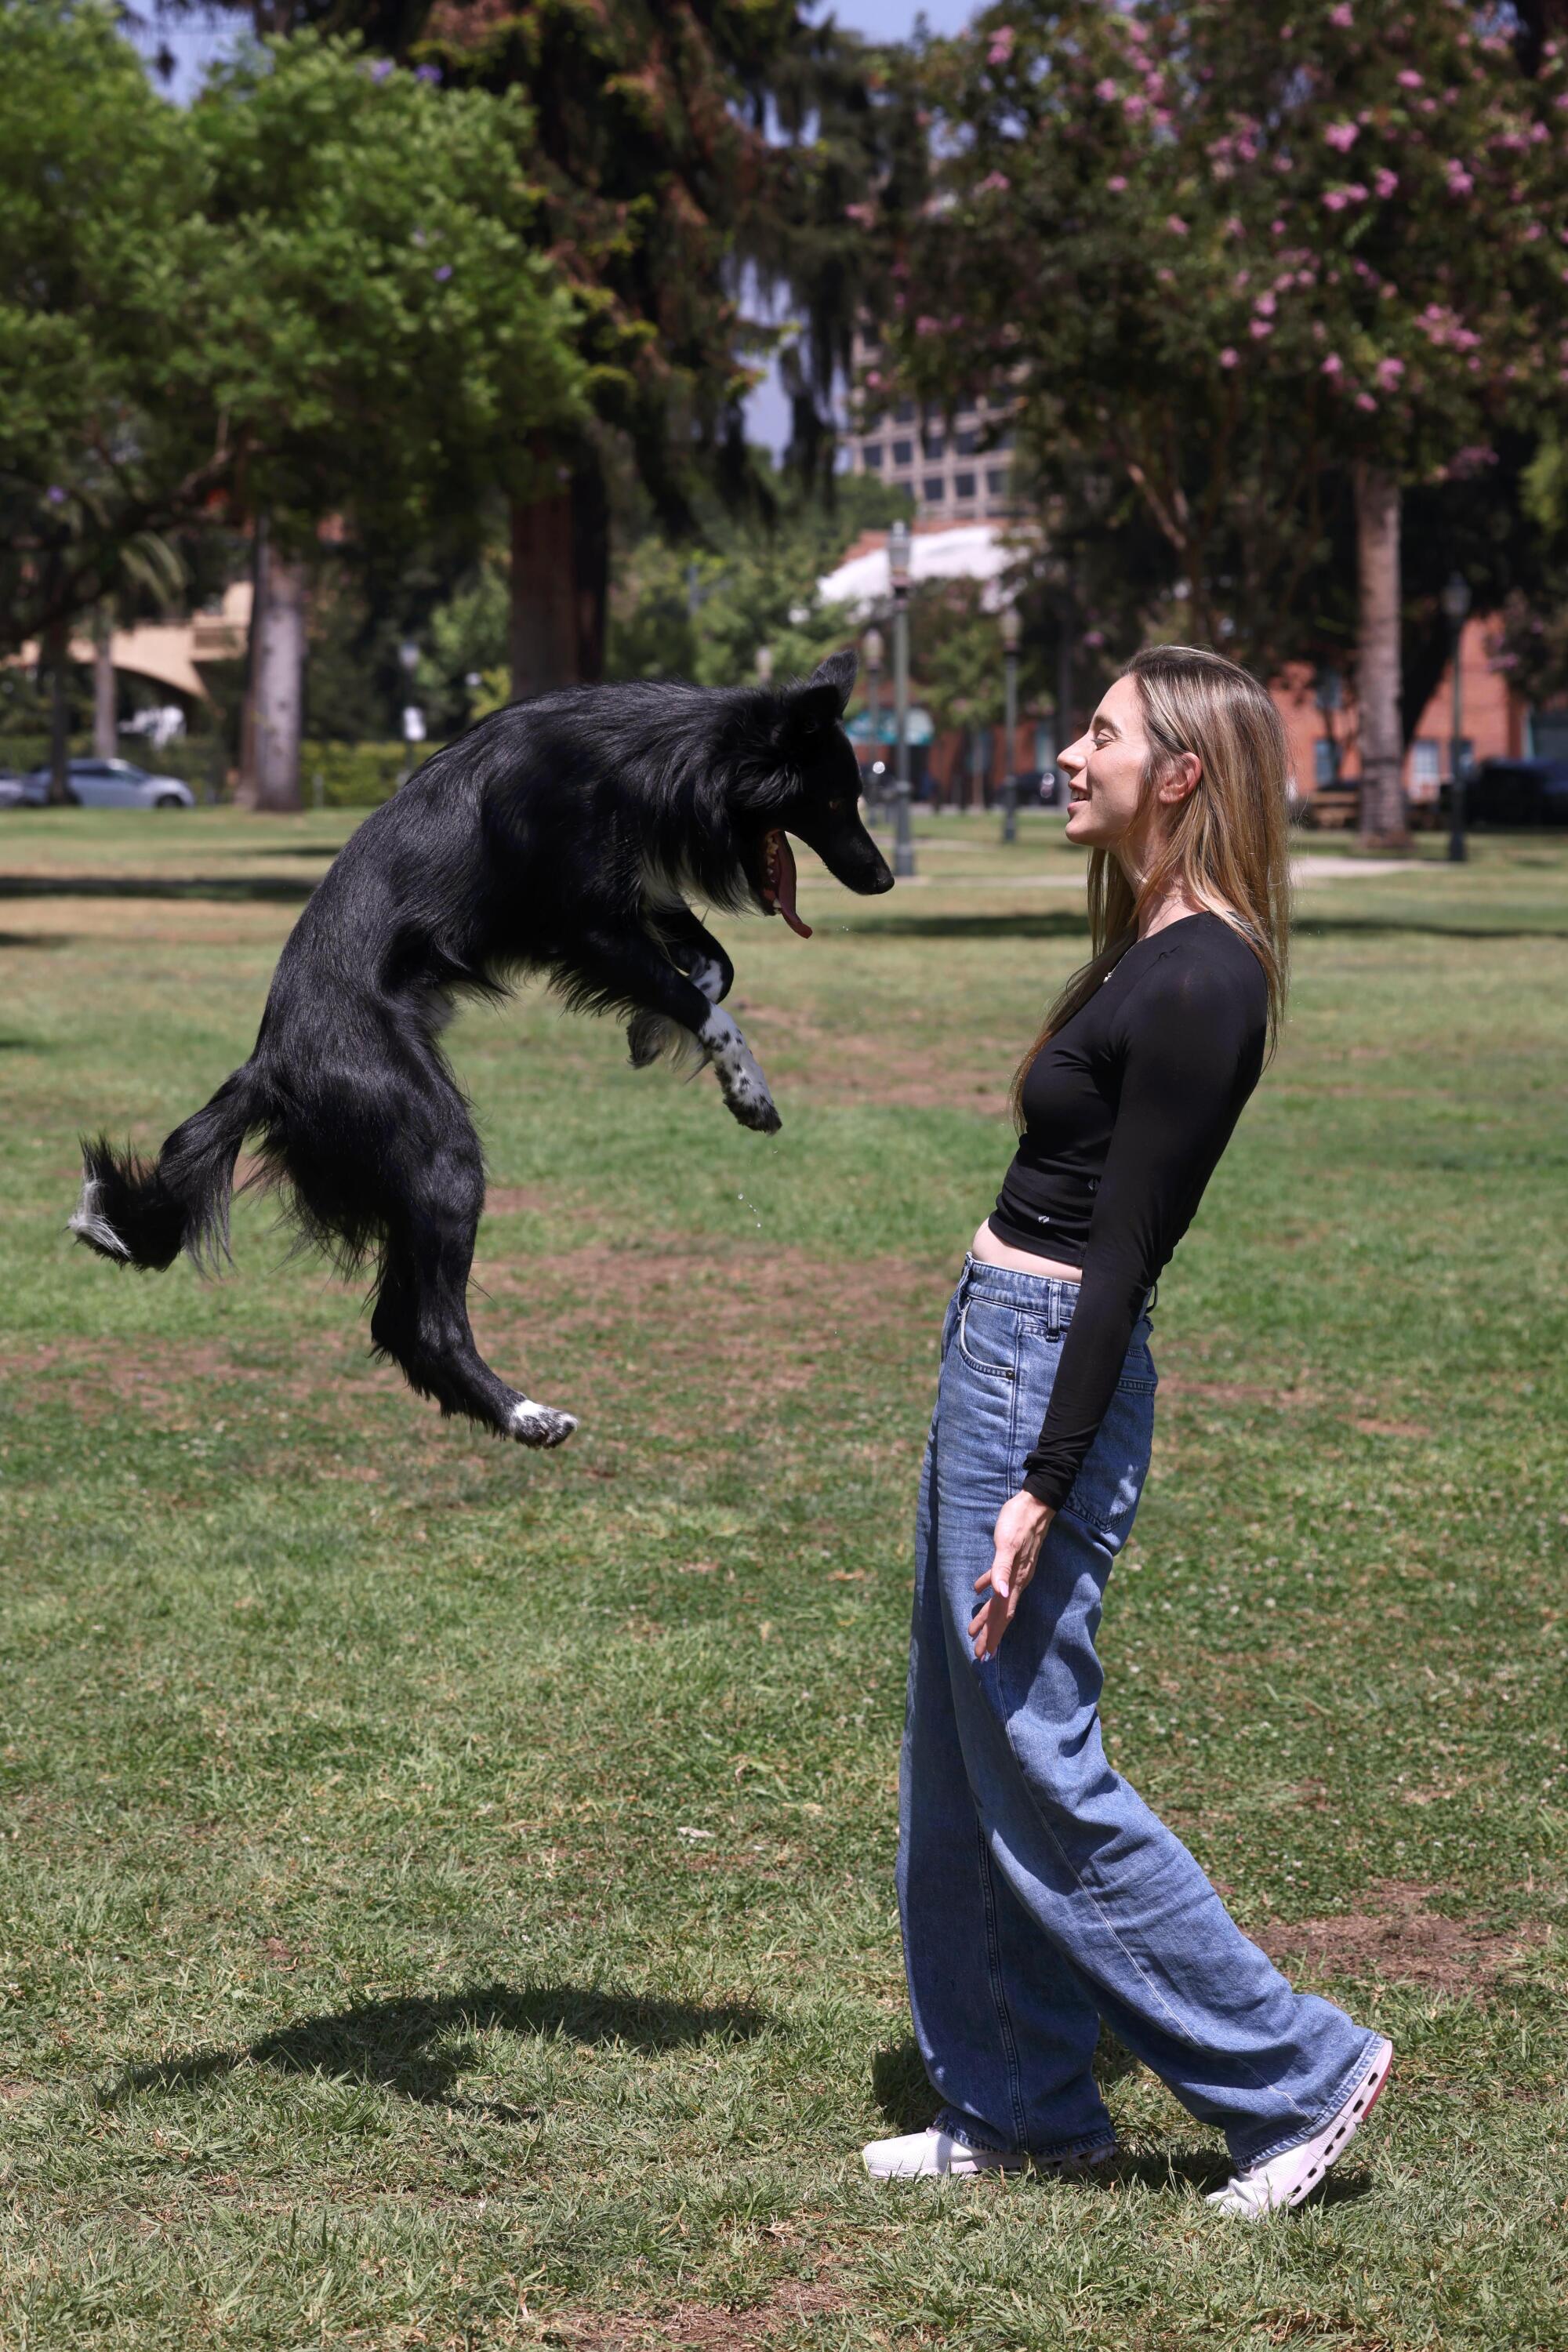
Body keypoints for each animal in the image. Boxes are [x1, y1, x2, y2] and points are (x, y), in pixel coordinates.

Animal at [70, 649, 893, 1449]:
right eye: (833, 801)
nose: (884, 878)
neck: (656, 755)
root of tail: (267, 1066)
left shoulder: (636, 898)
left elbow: (715, 970)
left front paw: (651, 1031)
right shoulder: (587, 925)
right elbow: (706, 1004)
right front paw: (748, 1088)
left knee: (393, 1324)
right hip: (439, 1151)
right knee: (429, 1326)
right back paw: (528, 1417)